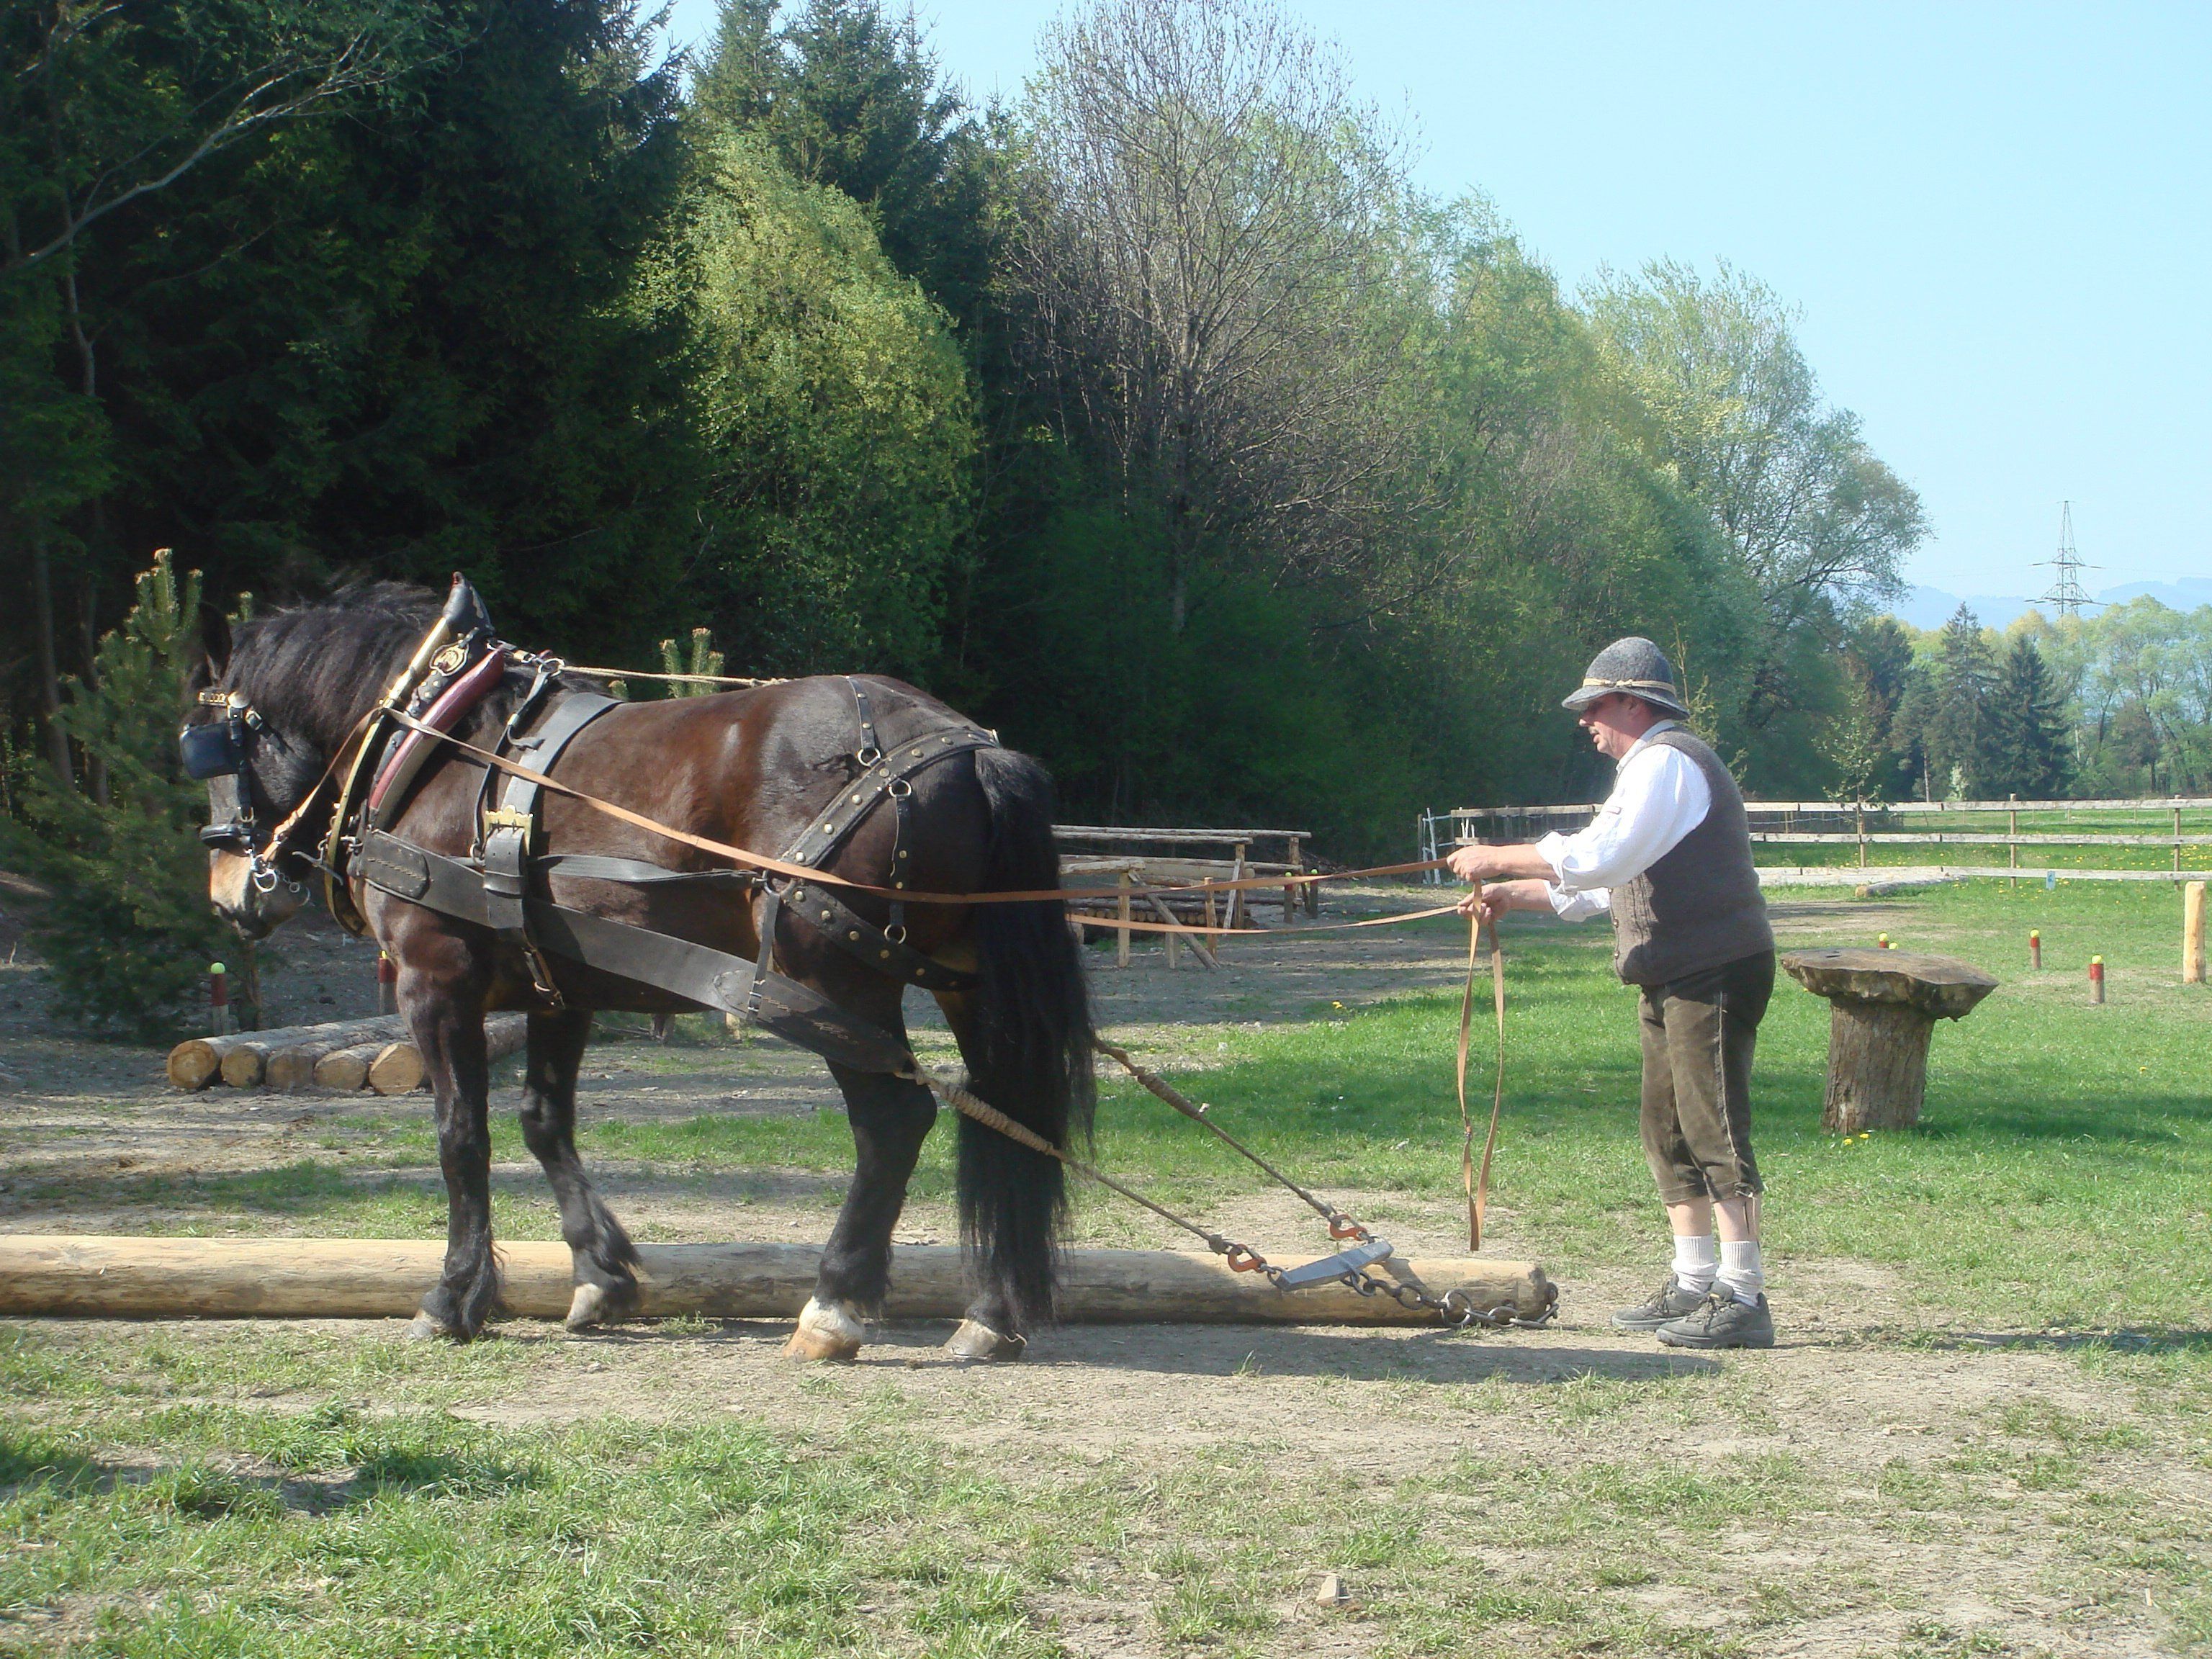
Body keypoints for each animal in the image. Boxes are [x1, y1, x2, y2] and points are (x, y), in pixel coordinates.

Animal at [186, 582, 1094, 1360]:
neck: (435, 742)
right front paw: (601, 1276)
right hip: (964, 986)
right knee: (1006, 1115)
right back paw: (990, 1316)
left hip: (831, 981)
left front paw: (453, 1298)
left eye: (213, 749)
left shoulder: (434, 981)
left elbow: (461, 1136)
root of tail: (966, 752)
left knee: (895, 1123)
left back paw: (834, 1305)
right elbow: (543, 1121)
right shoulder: (559, 991)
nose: (229, 894)